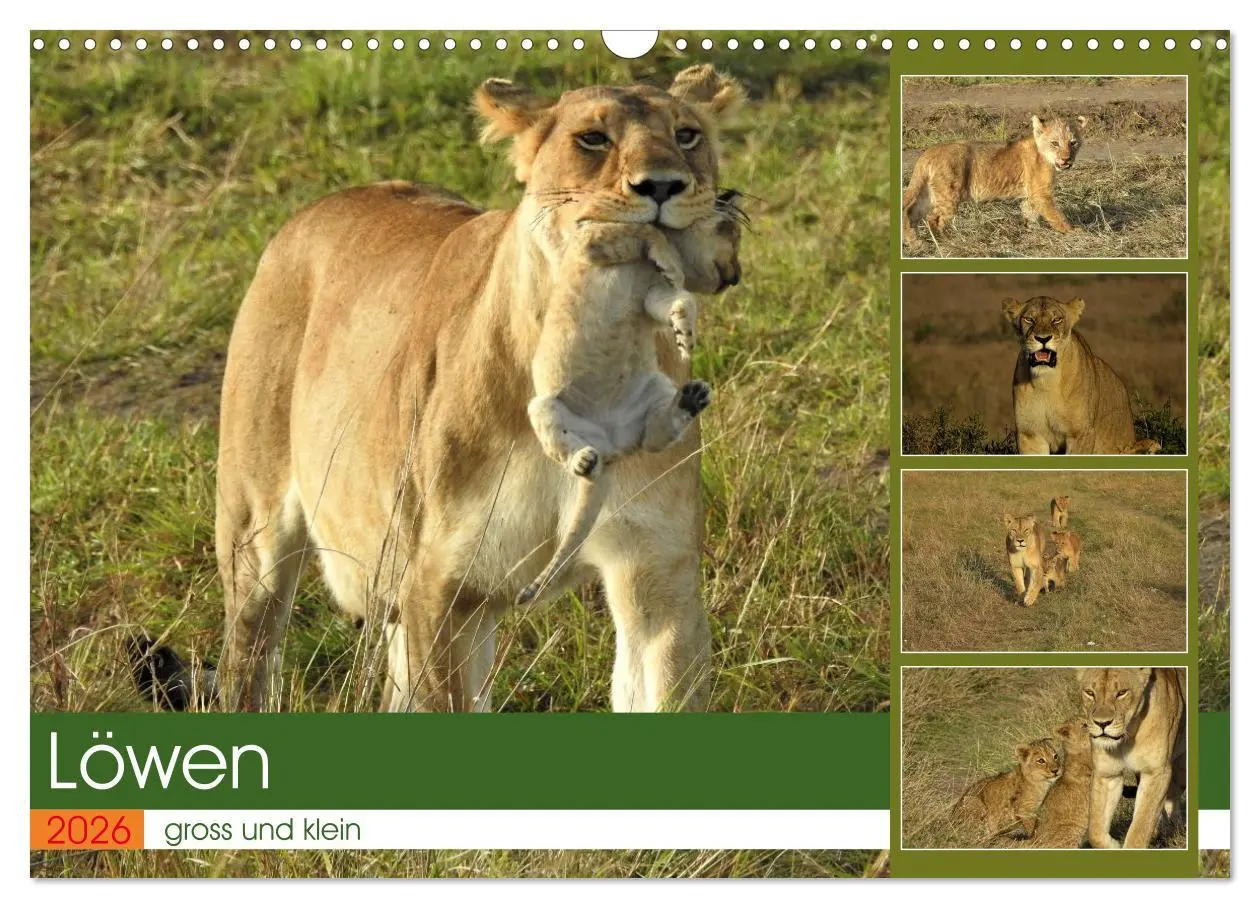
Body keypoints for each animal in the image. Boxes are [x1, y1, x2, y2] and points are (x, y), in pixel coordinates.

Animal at [518, 197, 743, 605]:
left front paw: (685, 334)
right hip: (542, 407)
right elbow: (647, 231)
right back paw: (583, 460)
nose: (737, 276)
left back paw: (692, 399)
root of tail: (611, 447)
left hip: (657, 386)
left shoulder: (652, 294)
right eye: (733, 235)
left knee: (652, 438)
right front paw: (669, 261)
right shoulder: (593, 240)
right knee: (563, 447)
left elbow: (680, 298)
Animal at [903, 114, 1087, 247]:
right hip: (949, 194)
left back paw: (915, 243)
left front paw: (1033, 231)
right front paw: (1073, 231)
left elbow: (1030, 213)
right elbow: (1056, 215)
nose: (1066, 160)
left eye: (1073, 142)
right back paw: (945, 242)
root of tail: (929, 153)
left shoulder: (1030, 195)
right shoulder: (1041, 194)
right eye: (1055, 143)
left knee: (910, 212)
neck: (1046, 156)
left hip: (928, 194)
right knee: (933, 218)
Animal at [1003, 296, 1158, 455]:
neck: (1046, 382)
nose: (1043, 338)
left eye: (1057, 320)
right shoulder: (1029, 434)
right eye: (1029, 319)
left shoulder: (1081, 433)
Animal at [1077, 668, 1187, 848]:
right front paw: (1114, 845)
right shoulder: (1107, 774)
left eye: (1122, 693)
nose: (1102, 724)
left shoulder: (1156, 772)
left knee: (1172, 798)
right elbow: (1094, 830)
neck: (1127, 736)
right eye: (1090, 693)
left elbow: (1141, 827)